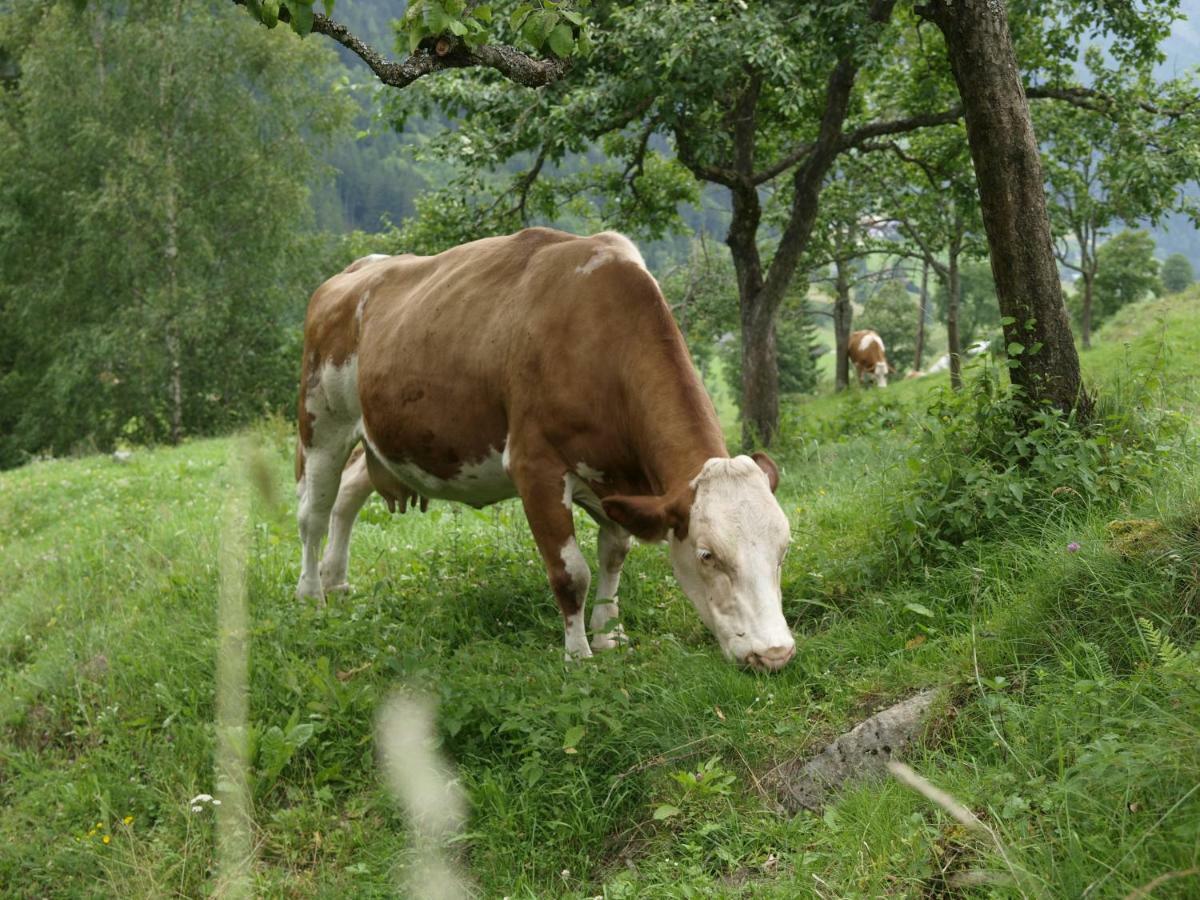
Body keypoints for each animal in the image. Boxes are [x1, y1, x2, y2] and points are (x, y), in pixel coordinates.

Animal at [291, 229, 796, 672]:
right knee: (313, 513)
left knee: (348, 493)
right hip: (322, 424)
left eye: (783, 547)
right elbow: (571, 572)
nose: (774, 654)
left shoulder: (614, 478)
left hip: (377, 438)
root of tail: (357, 270)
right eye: (708, 555)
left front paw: (609, 634)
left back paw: (337, 581)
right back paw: (311, 595)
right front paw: (578, 656)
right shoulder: (536, 467)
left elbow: (615, 552)